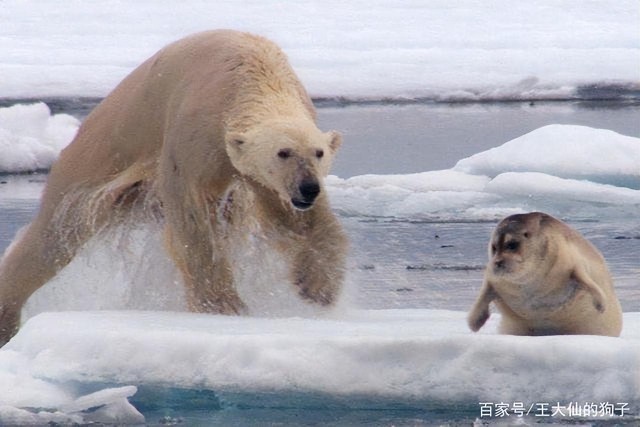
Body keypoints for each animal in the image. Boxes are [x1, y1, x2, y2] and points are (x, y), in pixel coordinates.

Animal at [0, 30, 348, 346]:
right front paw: (223, 305)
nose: (308, 188)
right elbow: (193, 217)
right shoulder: (196, 131)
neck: (252, 74)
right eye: (283, 152)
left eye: (319, 153)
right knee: (54, 234)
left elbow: (298, 220)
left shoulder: (262, 175)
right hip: (102, 152)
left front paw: (318, 286)